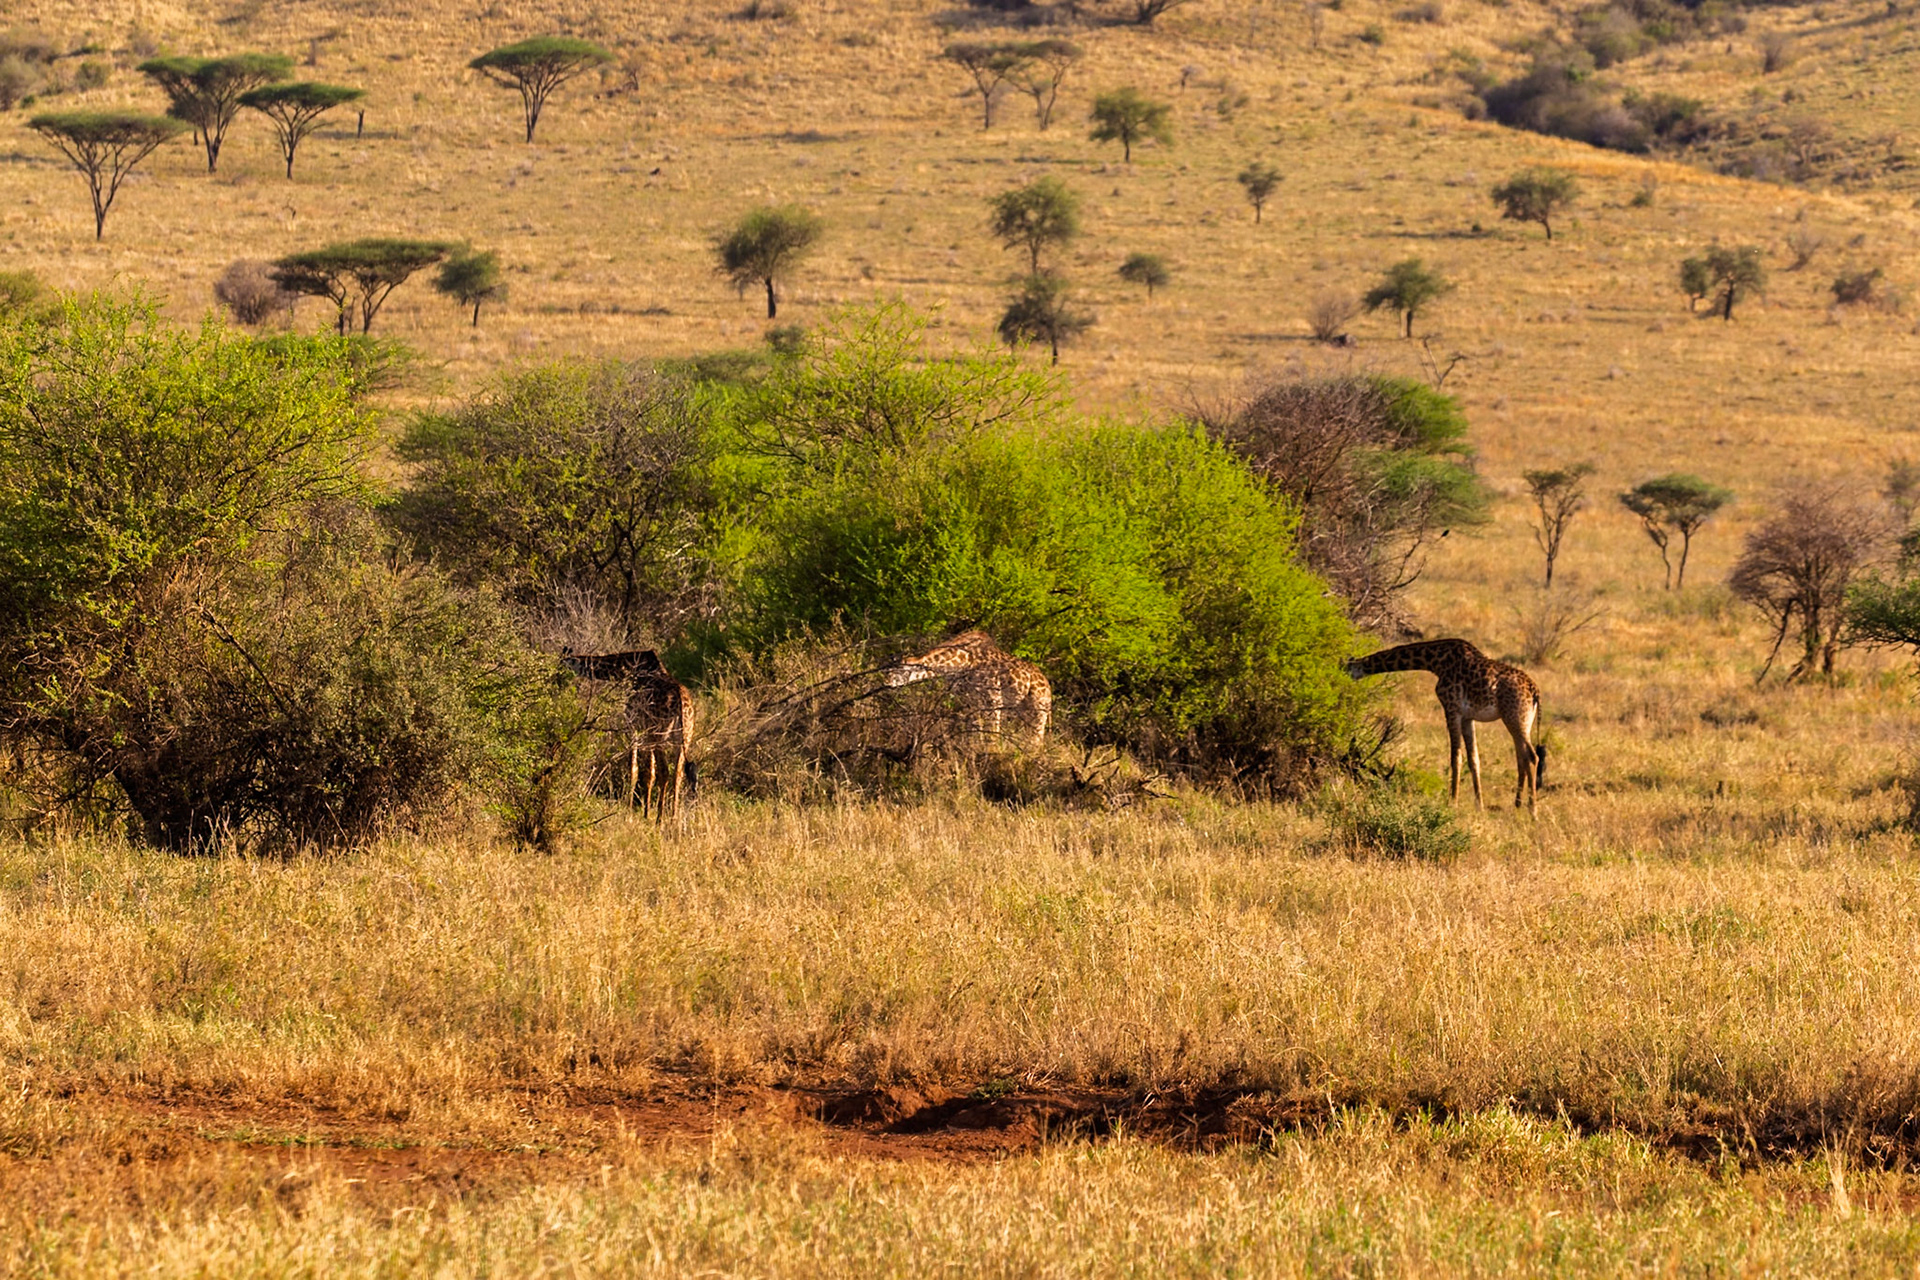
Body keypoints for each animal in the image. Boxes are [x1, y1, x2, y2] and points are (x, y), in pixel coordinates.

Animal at [561, 649, 694, 820]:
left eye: (561, 664)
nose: (556, 679)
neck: (630, 669)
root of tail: (681, 704)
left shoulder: (633, 728)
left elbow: (634, 769)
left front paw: (631, 812)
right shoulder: (646, 734)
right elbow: (649, 773)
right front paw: (645, 813)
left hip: (659, 736)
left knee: (664, 771)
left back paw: (660, 819)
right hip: (684, 739)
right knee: (678, 774)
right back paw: (673, 818)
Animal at [882, 630, 1053, 750]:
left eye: (898, 671)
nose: (886, 683)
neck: (963, 662)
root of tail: (1049, 689)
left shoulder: (993, 698)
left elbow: (992, 737)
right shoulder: (970, 701)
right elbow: (974, 733)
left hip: (1039, 710)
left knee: (1037, 741)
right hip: (1025, 712)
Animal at [1345, 638, 1545, 811]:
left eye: (1346, 669)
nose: (1341, 679)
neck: (1435, 662)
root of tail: (1535, 690)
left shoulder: (1451, 709)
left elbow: (1455, 758)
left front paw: (1452, 803)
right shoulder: (1467, 717)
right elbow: (1474, 759)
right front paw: (1479, 805)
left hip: (1514, 718)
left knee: (1532, 757)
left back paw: (1532, 810)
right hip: (1522, 721)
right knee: (1522, 757)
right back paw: (1518, 805)